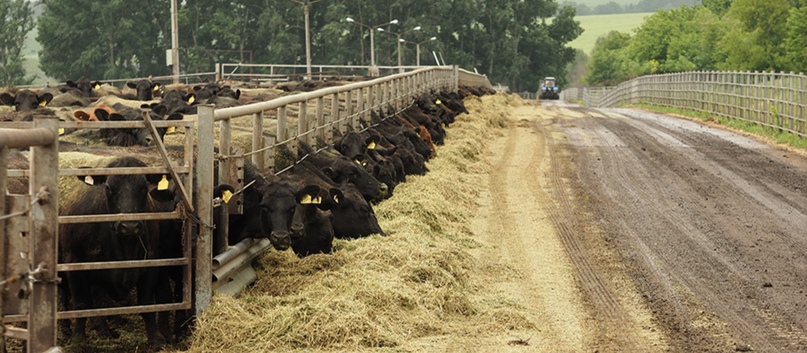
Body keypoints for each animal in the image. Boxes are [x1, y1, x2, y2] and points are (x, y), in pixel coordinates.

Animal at [59, 157, 177, 346]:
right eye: (108, 187)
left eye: (144, 187)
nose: (129, 226)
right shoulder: (75, 263)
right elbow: (81, 304)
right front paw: (78, 340)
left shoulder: (151, 263)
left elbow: (147, 304)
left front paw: (155, 338)